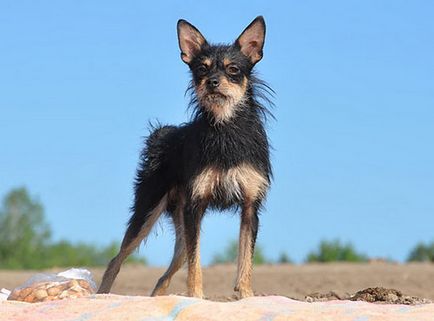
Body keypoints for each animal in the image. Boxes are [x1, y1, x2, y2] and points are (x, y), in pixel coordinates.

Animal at [100, 16, 272, 298]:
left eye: (233, 69)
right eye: (201, 69)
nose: (212, 82)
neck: (225, 130)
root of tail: (163, 134)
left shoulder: (250, 207)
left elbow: (245, 261)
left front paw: (247, 297)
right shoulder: (196, 206)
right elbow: (196, 265)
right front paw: (197, 298)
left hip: (180, 228)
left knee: (166, 274)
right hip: (148, 210)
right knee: (117, 259)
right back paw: (100, 295)